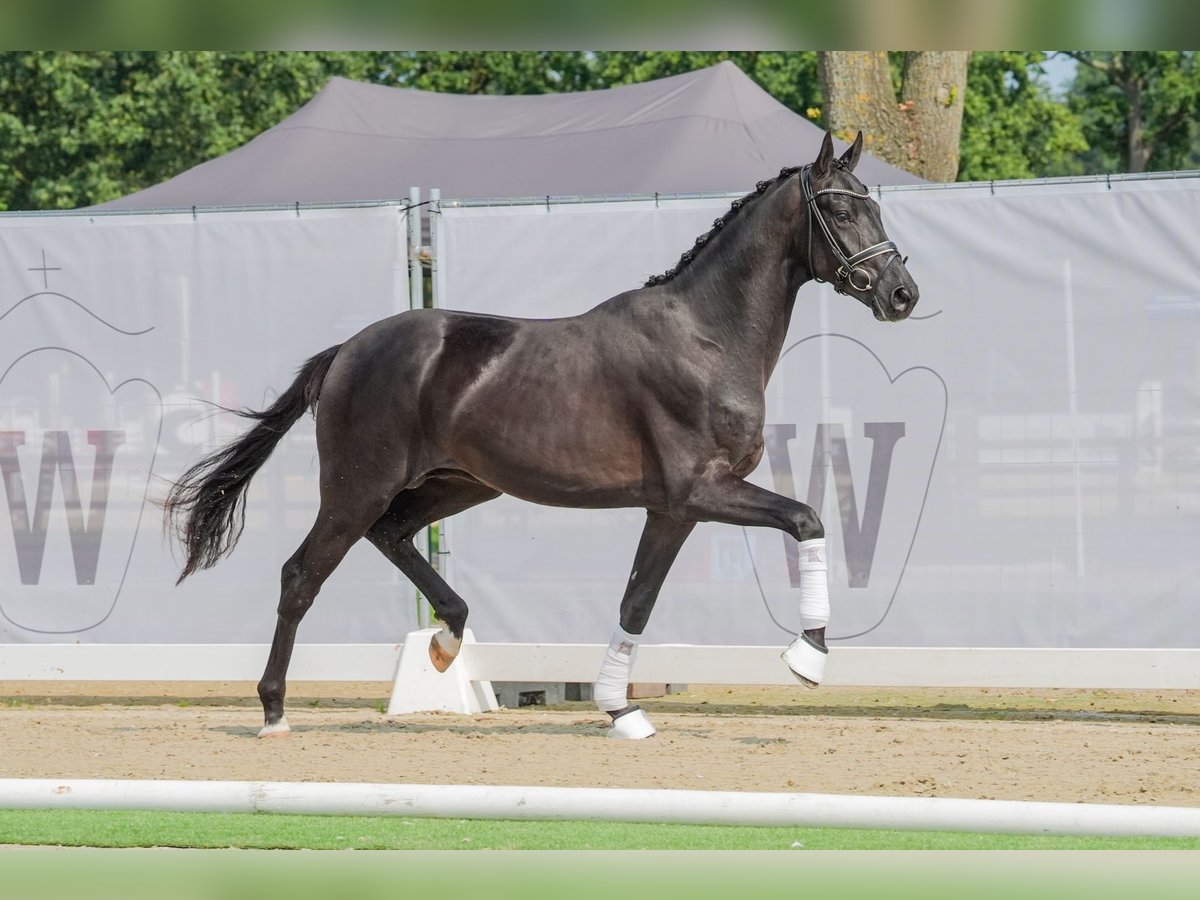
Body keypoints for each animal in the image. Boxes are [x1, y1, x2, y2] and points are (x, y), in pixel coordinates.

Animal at [166, 132, 916, 739]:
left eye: (875, 207)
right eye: (841, 210)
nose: (902, 293)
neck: (706, 336)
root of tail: (348, 349)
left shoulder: (671, 509)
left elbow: (637, 601)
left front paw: (622, 710)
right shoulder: (702, 491)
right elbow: (807, 518)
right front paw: (808, 657)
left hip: (459, 486)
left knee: (394, 535)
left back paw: (446, 642)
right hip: (356, 488)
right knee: (301, 575)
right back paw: (273, 711)